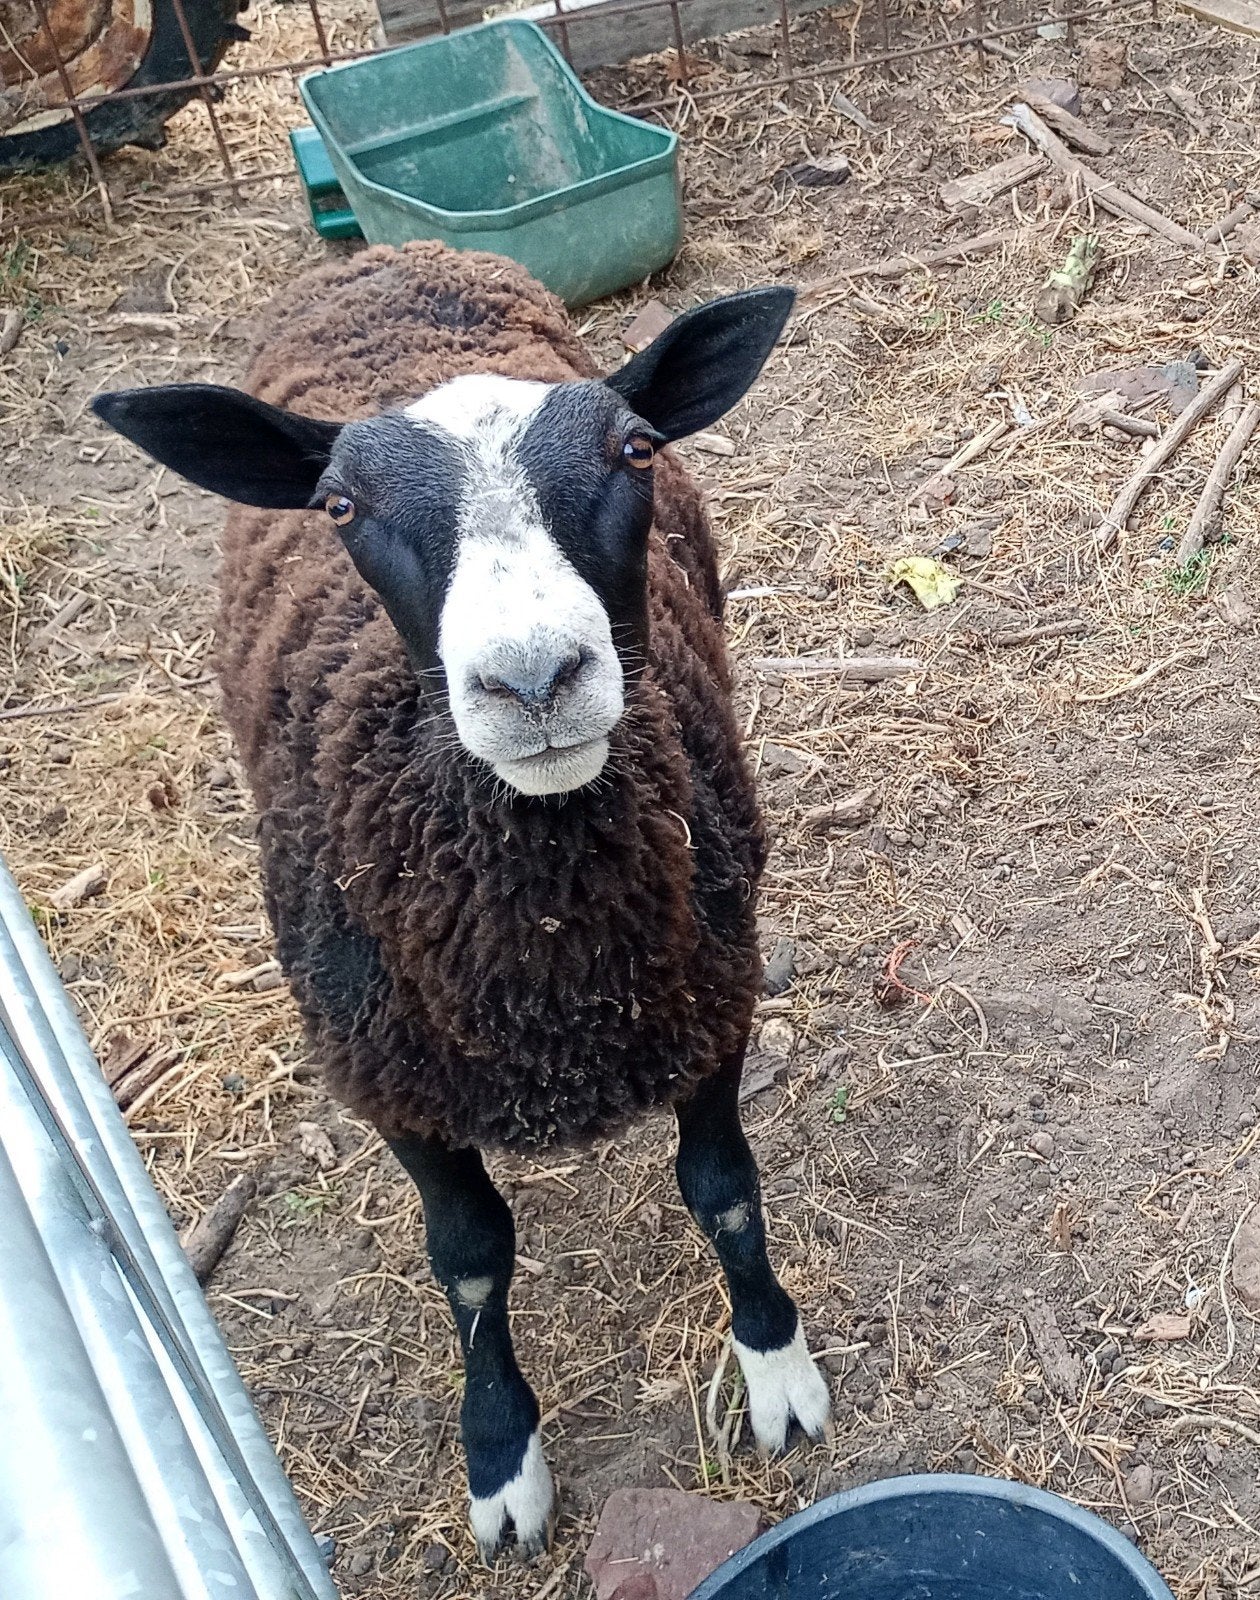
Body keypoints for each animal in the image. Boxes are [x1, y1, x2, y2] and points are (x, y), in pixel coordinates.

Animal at [92, 241, 831, 1562]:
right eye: (340, 505)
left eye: (634, 450)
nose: (533, 680)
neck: (548, 936)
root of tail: (385, 253)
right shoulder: (392, 1073)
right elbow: (473, 1258)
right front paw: (501, 1458)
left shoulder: (711, 991)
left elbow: (726, 1192)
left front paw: (775, 1363)